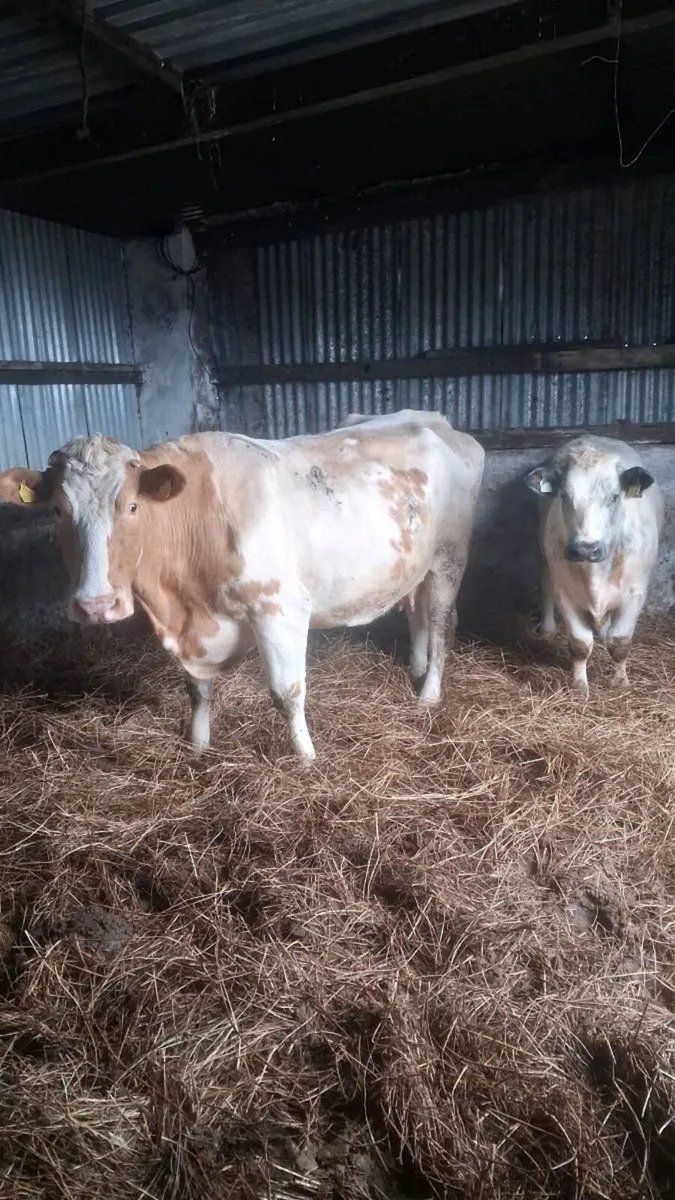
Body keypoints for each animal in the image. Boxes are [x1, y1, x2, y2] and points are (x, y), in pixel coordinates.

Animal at [0, 411, 484, 761]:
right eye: (59, 510)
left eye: (133, 506)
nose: (96, 606)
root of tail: (440, 422)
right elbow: (197, 690)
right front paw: (197, 747)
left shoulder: (280, 607)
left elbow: (286, 692)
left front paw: (306, 758)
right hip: (416, 566)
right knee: (416, 611)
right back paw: (417, 668)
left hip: (449, 556)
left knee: (443, 622)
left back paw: (429, 694)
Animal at [525, 435, 663, 696]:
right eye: (565, 496)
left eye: (614, 497)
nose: (586, 548)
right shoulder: (566, 593)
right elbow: (580, 644)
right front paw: (579, 686)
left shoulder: (635, 593)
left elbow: (620, 642)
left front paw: (621, 681)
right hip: (543, 553)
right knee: (545, 585)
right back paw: (547, 628)